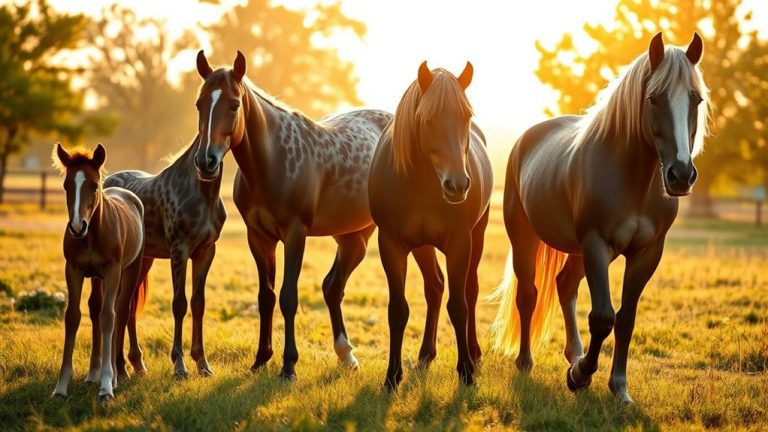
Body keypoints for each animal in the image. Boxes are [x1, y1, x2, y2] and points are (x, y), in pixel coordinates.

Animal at [51, 143, 146, 402]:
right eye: (66, 185)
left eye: (94, 185)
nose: (77, 227)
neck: (92, 235)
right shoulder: (73, 270)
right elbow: (73, 317)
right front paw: (61, 387)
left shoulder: (113, 271)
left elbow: (108, 317)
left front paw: (106, 386)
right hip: (96, 277)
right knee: (95, 307)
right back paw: (93, 373)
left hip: (130, 270)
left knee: (119, 312)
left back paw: (115, 374)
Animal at [102, 135, 226, 378]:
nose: (208, 163)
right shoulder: (179, 251)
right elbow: (179, 304)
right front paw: (179, 366)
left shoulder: (206, 252)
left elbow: (198, 303)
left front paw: (203, 364)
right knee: (120, 306)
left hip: (144, 261)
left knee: (129, 307)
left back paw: (138, 364)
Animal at [193, 50, 392, 379]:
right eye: (199, 104)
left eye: (234, 104)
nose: (205, 161)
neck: (273, 160)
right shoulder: (259, 238)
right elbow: (266, 297)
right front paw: (261, 360)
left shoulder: (295, 234)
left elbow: (288, 297)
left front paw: (288, 366)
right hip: (352, 236)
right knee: (333, 287)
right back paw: (346, 355)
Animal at [369, 61, 493, 389]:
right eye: (427, 120)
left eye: (466, 116)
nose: (457, 185)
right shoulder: (391, 244)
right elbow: (397, 310)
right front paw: (392, 377)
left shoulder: (461, 243)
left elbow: (459, 306)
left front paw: (466, 373)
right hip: (422, 246)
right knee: (435, 286)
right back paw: (426, 354)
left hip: (477, 235)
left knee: (470, 290)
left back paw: (473, 352)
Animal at [490, 32, 709, 403]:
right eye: (653, 98)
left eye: (697, 99)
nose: (681, 175)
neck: (633, 180)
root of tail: (525, 140)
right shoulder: (596, 245)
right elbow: (603, 317)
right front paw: (579, 376)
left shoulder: (647, 253)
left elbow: (626, 319)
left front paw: (618, 387)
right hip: (525, 239)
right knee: (528, 295)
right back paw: (526, 362)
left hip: (577, 251)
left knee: (565, 286)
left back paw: (574, 354)